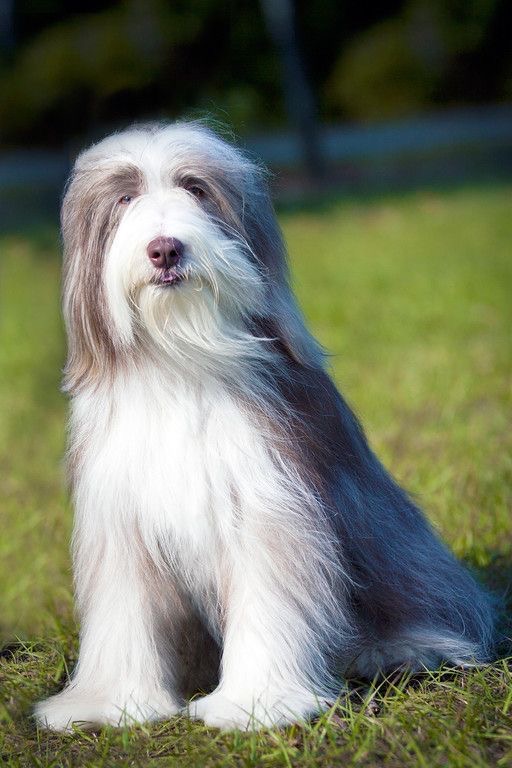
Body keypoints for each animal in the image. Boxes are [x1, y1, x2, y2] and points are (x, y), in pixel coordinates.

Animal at [34, 121, 494, 732]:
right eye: (126, 198)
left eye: (196, 189)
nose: (165, 248)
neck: (183, 359)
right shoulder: (120, 515)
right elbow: (123, 612)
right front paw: (111, 704)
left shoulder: (265, 499)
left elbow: (269, 598)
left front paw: (253, 704)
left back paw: (398, 649)